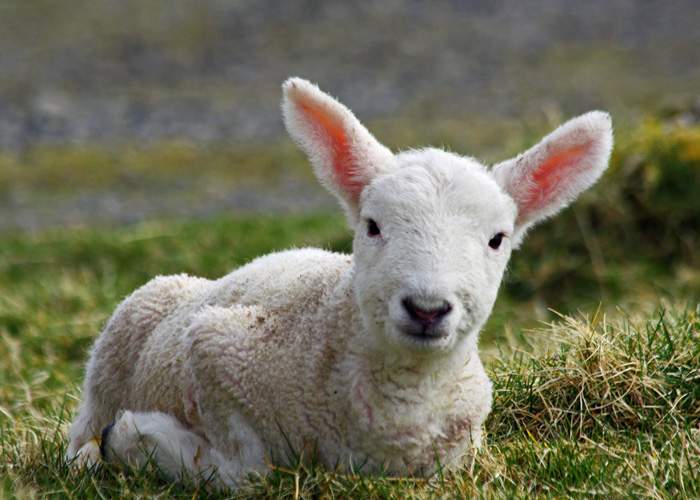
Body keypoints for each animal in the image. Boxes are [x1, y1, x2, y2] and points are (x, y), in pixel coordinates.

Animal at [65, 77, 612, 488]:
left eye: (497, 240)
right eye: (372, 226)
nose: (427, 308)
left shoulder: (461, 447)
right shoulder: (216, 345)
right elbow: (250, 473)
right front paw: (135, 438)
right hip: (112, 358)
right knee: (81, 434)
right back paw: (95, 449)